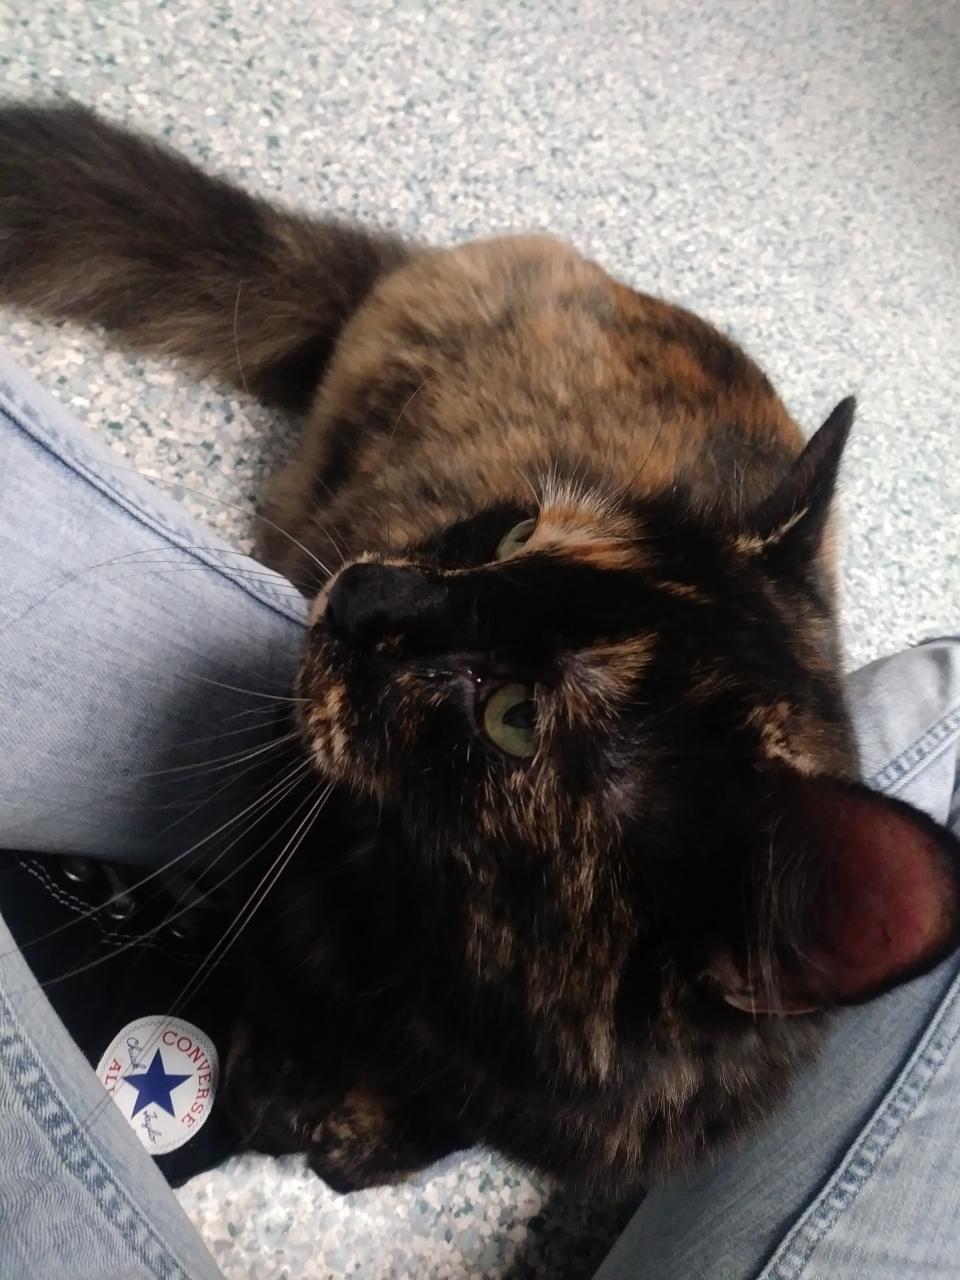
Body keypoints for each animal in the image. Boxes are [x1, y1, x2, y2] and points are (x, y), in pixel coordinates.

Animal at [1, 100, 958, 1194]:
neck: (457, 995)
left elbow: (403, 1140)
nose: (361, 588)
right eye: (515, 534)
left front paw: (358, 1125)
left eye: (515, 718)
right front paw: (288, 1087)